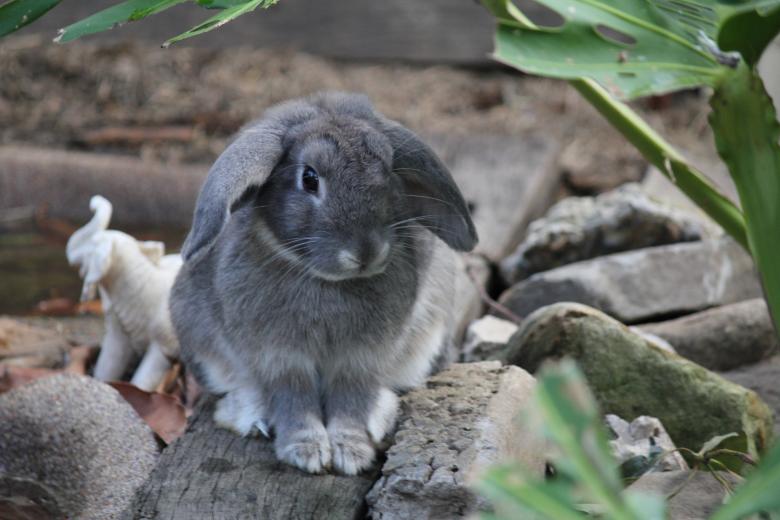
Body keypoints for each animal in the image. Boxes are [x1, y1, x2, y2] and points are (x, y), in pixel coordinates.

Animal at [170, 92, 477, 475]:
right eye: (310, 178)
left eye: (389, 170)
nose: (366, 251)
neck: (327, 281)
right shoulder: (280, 358)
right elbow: (293, 398)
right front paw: (306, 452)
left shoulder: (360, 359)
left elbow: (352, 399)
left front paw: (351, 452)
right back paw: (251, 417)